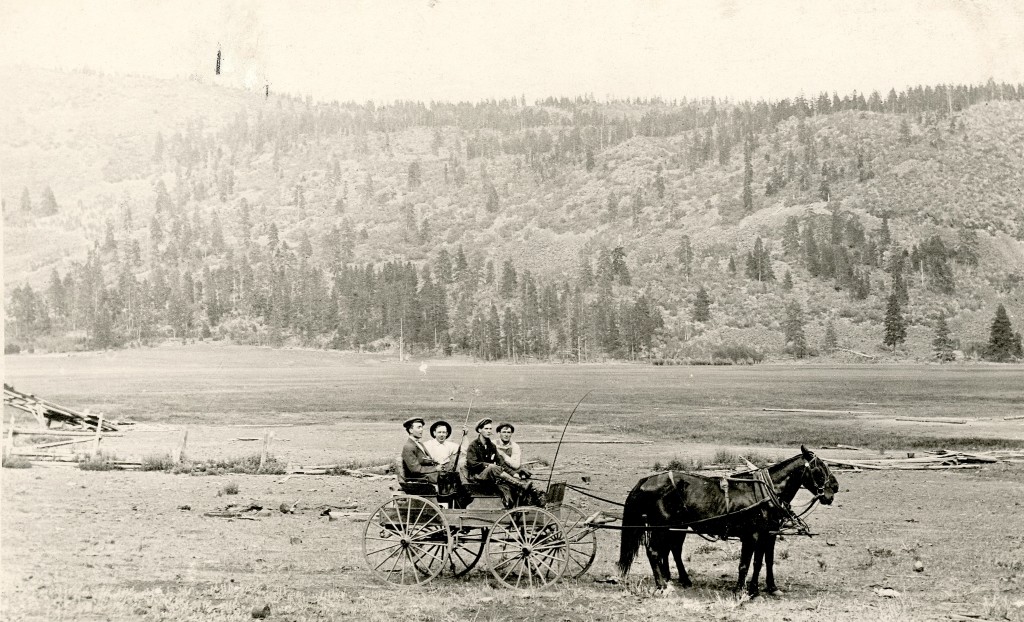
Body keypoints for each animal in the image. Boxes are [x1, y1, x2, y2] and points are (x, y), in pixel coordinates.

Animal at [618, 444, 835, 594]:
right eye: (820, 469)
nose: (835, 488)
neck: (766, 491)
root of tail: (646, 480)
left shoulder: (767, 534)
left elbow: (764, 561)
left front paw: (766, 588)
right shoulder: (752, 535)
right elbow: (746, 563)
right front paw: (742, 590)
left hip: (676, 527)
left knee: (672, 550)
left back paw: (678, 579)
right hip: (660, 527)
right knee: (655, 551)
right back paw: (663, 585)